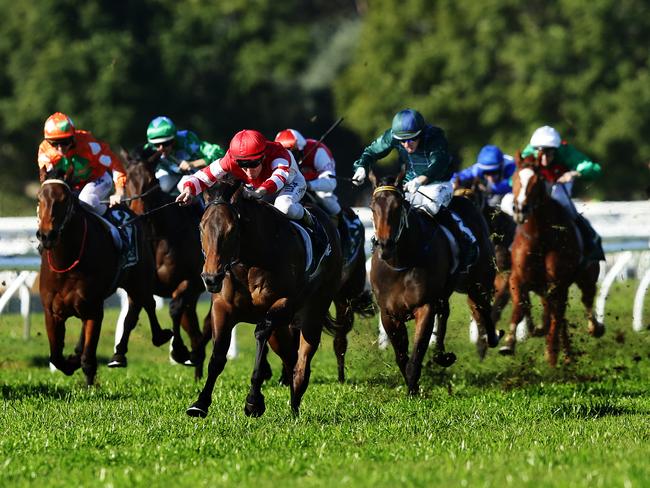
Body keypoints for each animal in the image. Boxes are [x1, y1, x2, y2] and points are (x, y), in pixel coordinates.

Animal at [36, 179, 171, 386]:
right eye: (39, 198)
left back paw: (152, 339)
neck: (67, 263)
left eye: (64, 200)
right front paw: (71, 362)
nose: (46, 235)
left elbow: (88, 355)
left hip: (138, 280)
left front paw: (89, 382)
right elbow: (56, 357)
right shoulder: (52, 312)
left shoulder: (94, 310)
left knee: (144, 306)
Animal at [121, 147, 210, 380]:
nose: (138, 213)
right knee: (196, 333)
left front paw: (178, 350)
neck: (158, 236)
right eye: (126, 180)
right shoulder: (139, 284)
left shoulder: (191, 282)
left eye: (151, 180)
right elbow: (132, 315)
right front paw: (119, 354)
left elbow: (174, 309)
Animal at [185, 181, 342, 418]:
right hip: (282, 330)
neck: (249, 263)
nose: (210, 278)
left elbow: (260, 332)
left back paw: (295, 405)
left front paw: (253, 401)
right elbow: (218, 356)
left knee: (302, 362)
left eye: (232, 229)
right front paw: (200, 403)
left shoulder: (284, 303)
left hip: (314, 311)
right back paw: (293, 405)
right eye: (202, 227)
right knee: (290, 358)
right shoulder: (222, 308)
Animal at [368, 177, 498, 394]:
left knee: (483, 308)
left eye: (398, 206)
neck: (400, 263)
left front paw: (413, 391)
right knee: (445, 312)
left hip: (478, 282)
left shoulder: (424, 306)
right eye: (372, 207)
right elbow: (401, 357)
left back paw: (492, 338)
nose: (385, 245)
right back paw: (441, 354)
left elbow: (416, 354)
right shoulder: (388, 313)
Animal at [502, 154, 604, 364]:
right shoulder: (518, 278)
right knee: (557, 313)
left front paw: (550, 352)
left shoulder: (557, 282)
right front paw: (509, 342)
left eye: (537, 181)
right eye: (514, 178)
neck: (540, 237)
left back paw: (591, 330)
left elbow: (556, 317)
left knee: (585, 300)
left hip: (586, 276)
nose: (520, 209)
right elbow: (519, 307)